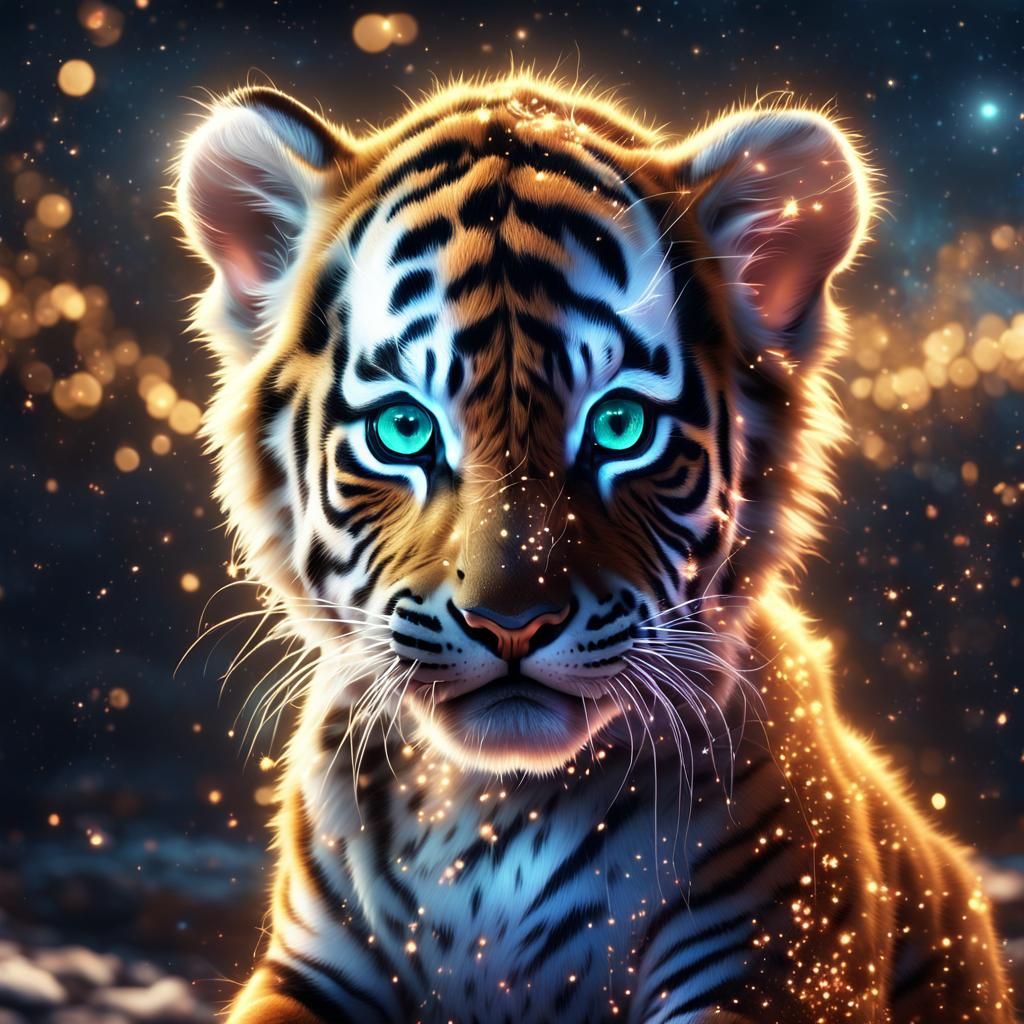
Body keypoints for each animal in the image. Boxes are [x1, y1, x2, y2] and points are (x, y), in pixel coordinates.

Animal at [173, 72, 1014, 1023]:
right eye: (403, 429)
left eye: (619, 426)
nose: (511, 625)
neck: (489, 813)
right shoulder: (310, 969)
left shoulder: (775, 972)